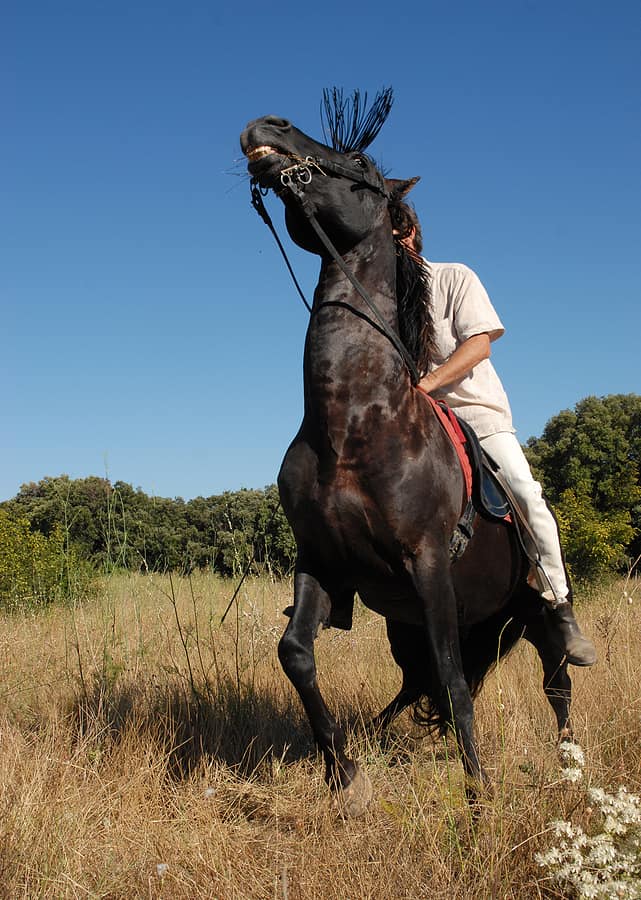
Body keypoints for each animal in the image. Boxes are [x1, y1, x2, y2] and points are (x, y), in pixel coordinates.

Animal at [240, 95, 568, 812]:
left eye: (360, 165)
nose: (267, 128)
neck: (353, 426)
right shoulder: (321, 560)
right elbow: (295, 653)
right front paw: (344, 774)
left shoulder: (429, 565)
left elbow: (452, 678)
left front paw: (478, 798)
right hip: (409, 626)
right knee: (421, 686)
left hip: (528, 610)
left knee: (554, 677)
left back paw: (569, 766)